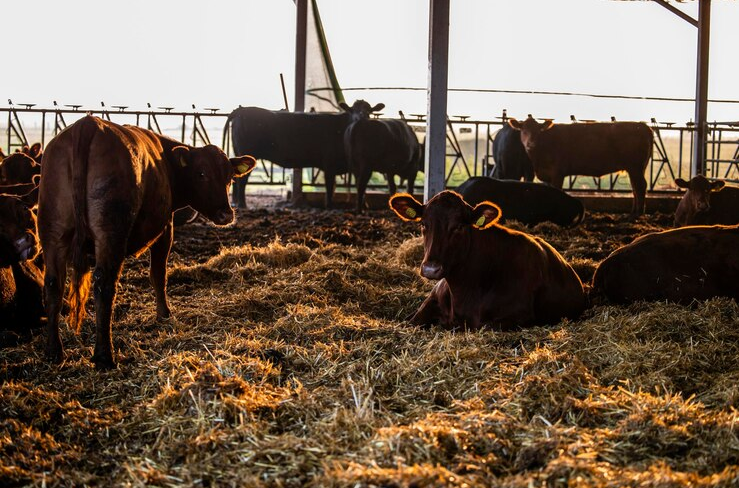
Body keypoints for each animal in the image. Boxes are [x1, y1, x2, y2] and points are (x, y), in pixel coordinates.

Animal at [37, 116, 256, 368]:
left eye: (229, 177)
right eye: (201, 173)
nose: (226, 214)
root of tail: (88, 123)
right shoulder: (165, 229)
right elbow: (158, 275)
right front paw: (164, 314)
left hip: (53, 232)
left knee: (53, 284)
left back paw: (54, 351)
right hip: (111, 233)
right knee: (104, 284)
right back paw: (104, 356)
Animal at [227, 100, 384, 209]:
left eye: (369, 110)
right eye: (353, 110)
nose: (362, 118)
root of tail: (242, 110)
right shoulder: (329, 164)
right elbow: (330, 187)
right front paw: (329, 206)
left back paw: (235, 203)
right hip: (248, 152)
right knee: (242, 180)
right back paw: (242, 204)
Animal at [508, 116, 653, 218]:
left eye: (538, 131)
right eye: (523, 131)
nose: (531, 144)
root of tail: (642, 125)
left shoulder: (557, 173)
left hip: (635, 167)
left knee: (640, 186)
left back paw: (638, 214)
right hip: (634, 168)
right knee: (635, 187)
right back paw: (632, 212)